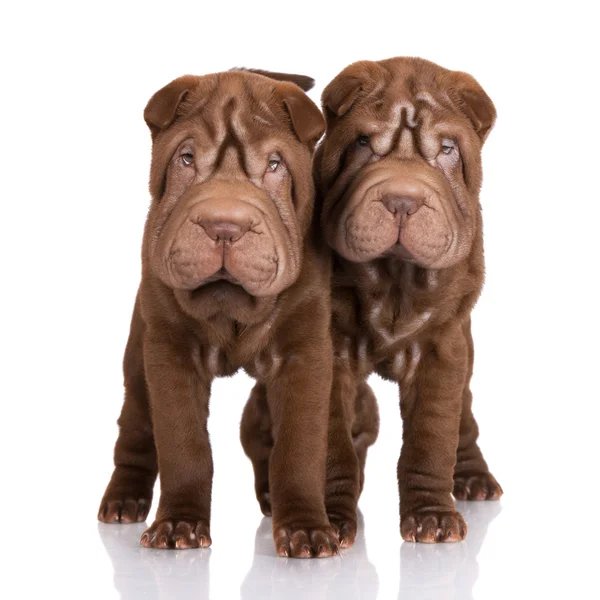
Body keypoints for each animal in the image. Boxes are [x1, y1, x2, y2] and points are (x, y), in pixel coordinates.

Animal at [99, 69, 342, 556]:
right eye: (186, 158)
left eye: (275, 164)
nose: (225, 226)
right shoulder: (169, 352)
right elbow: (183, 444)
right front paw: (178, 524)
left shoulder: (304, 353)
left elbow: (299, 446)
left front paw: (305, 528)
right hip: (137, 358)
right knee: (135, 424)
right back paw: (122, 500)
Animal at [316, 59, 504, 544]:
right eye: (363, 143)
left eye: (447, 148)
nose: (402, 199)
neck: (395, 277)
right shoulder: (327, 350)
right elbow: (330, 443)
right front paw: (329, 519)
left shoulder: (443, 348)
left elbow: (432, 438)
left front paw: (432, 518)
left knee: (464, 419)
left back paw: (475, 479)